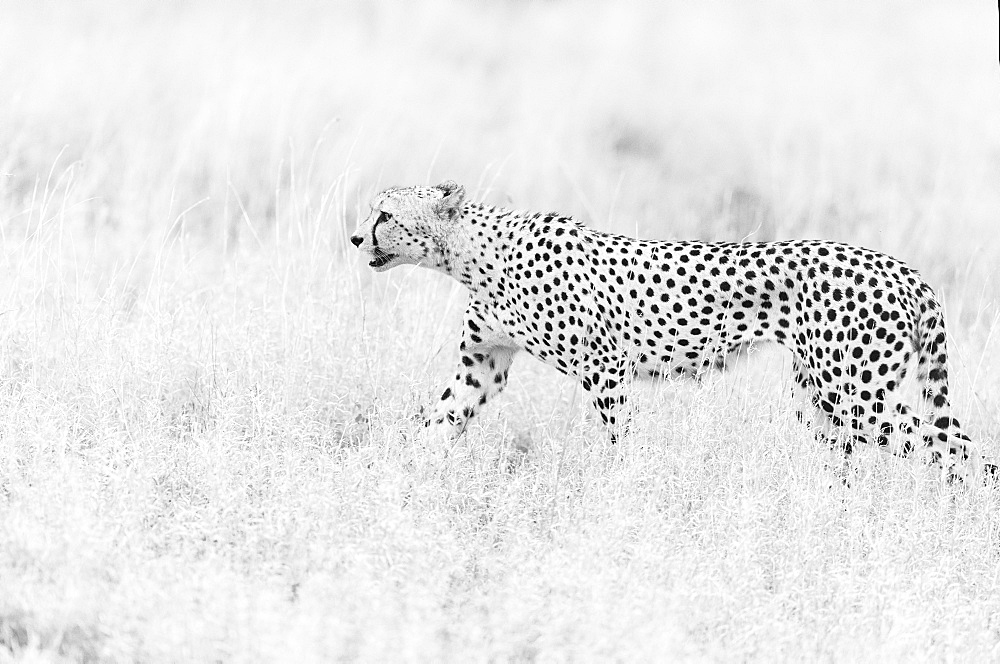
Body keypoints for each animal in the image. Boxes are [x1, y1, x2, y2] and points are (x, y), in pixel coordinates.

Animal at [352, 182, 992, 482]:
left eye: (384, 213)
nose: (356, 237)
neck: (474, 253)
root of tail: (903, 267)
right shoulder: (482, 366)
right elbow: (438, 420)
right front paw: (398, 472)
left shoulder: (605, 367)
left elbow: (620, 438)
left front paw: (624, 486)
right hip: (820, 396)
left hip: (853, 393)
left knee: (953, 444)